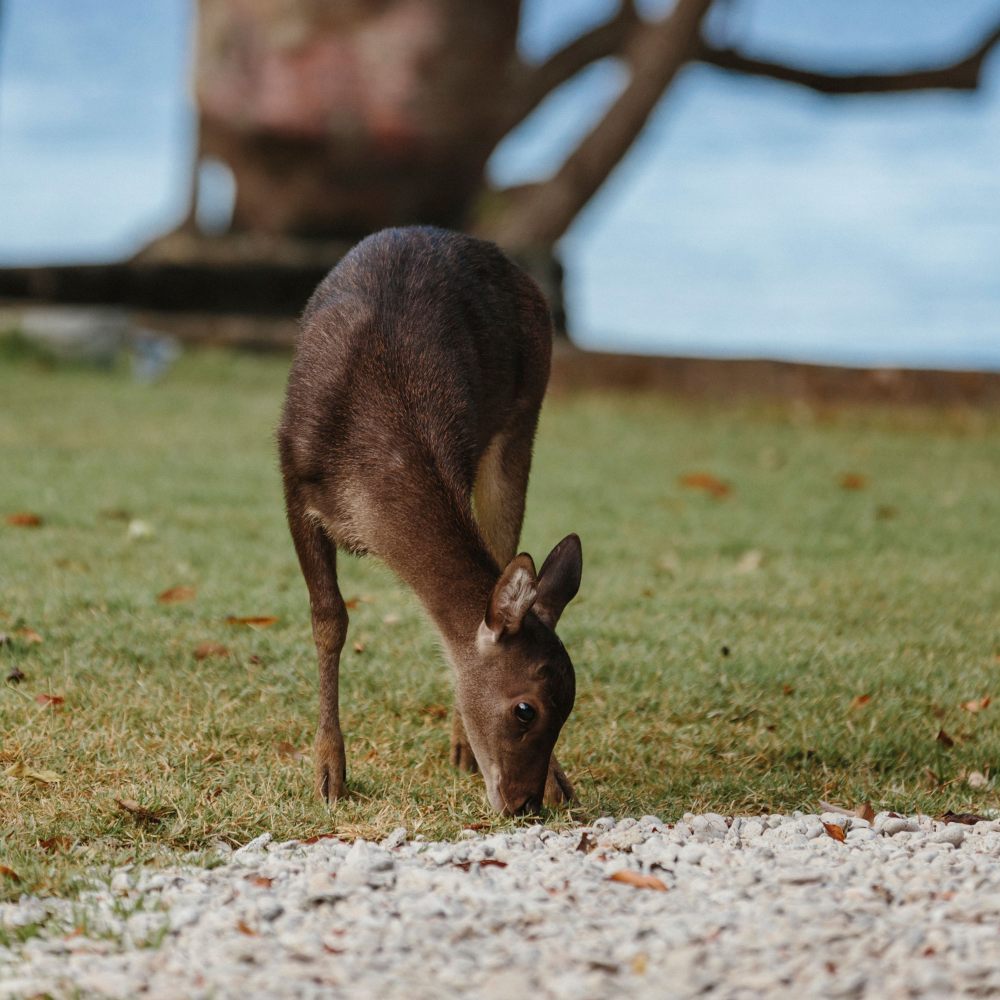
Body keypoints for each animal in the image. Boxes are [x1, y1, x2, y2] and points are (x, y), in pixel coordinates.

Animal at [278, 225, 584, 812]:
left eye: (570, 706)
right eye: (526, 708)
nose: (525, 803)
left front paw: (561, 781)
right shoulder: (293, 477)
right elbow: (329, 619)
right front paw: (329, 772)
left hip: (523, 416)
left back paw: (466, 750)